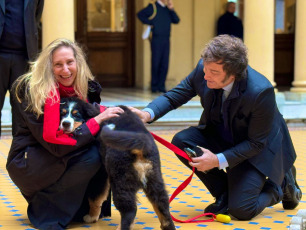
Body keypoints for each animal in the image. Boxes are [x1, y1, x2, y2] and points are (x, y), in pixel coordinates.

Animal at [58, 97, 176, 230]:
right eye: (62, 113)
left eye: (76, 115)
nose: (65, 123)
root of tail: (140, 145)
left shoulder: (101, 172)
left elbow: (95, 197)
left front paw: (92, 216)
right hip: (154, 179)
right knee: (163, 208)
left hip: (121, 181)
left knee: (130, 211)